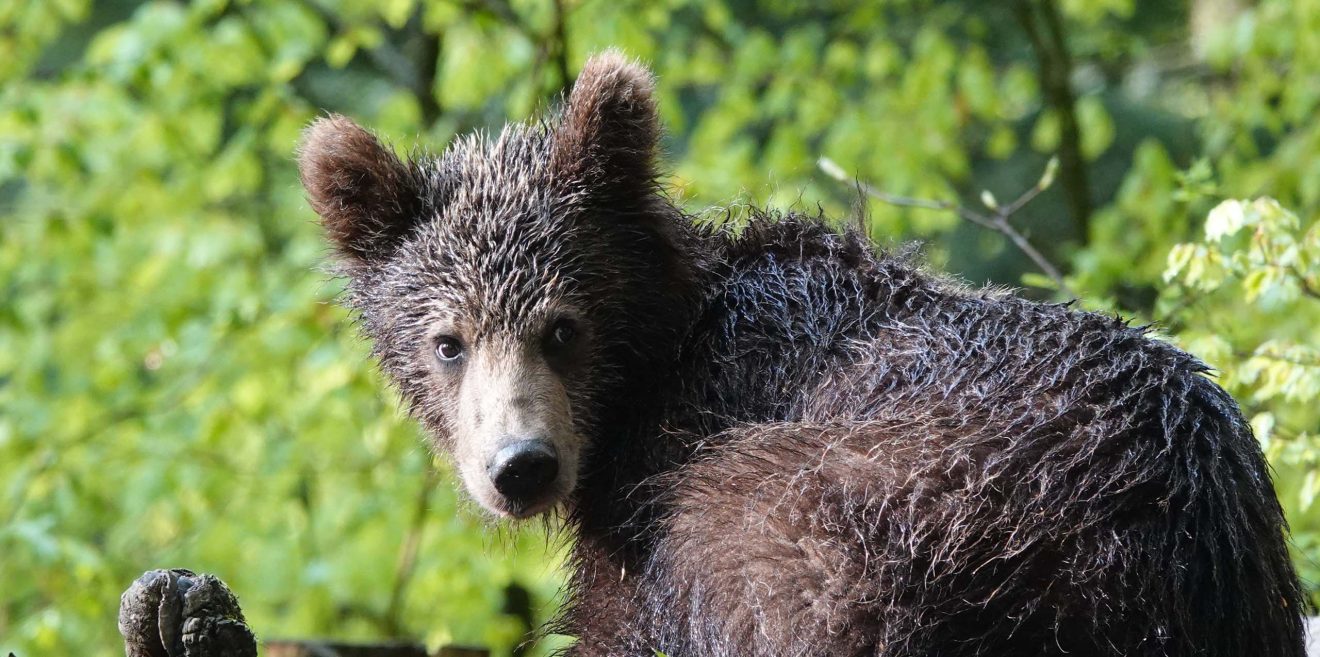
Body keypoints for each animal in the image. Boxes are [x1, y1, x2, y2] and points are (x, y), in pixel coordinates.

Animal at [295, 51, 1305, 656]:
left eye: (562, 325)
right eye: (448, 341)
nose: (521, 465)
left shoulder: (675, 477)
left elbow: (627, 621)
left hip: (886, 508)